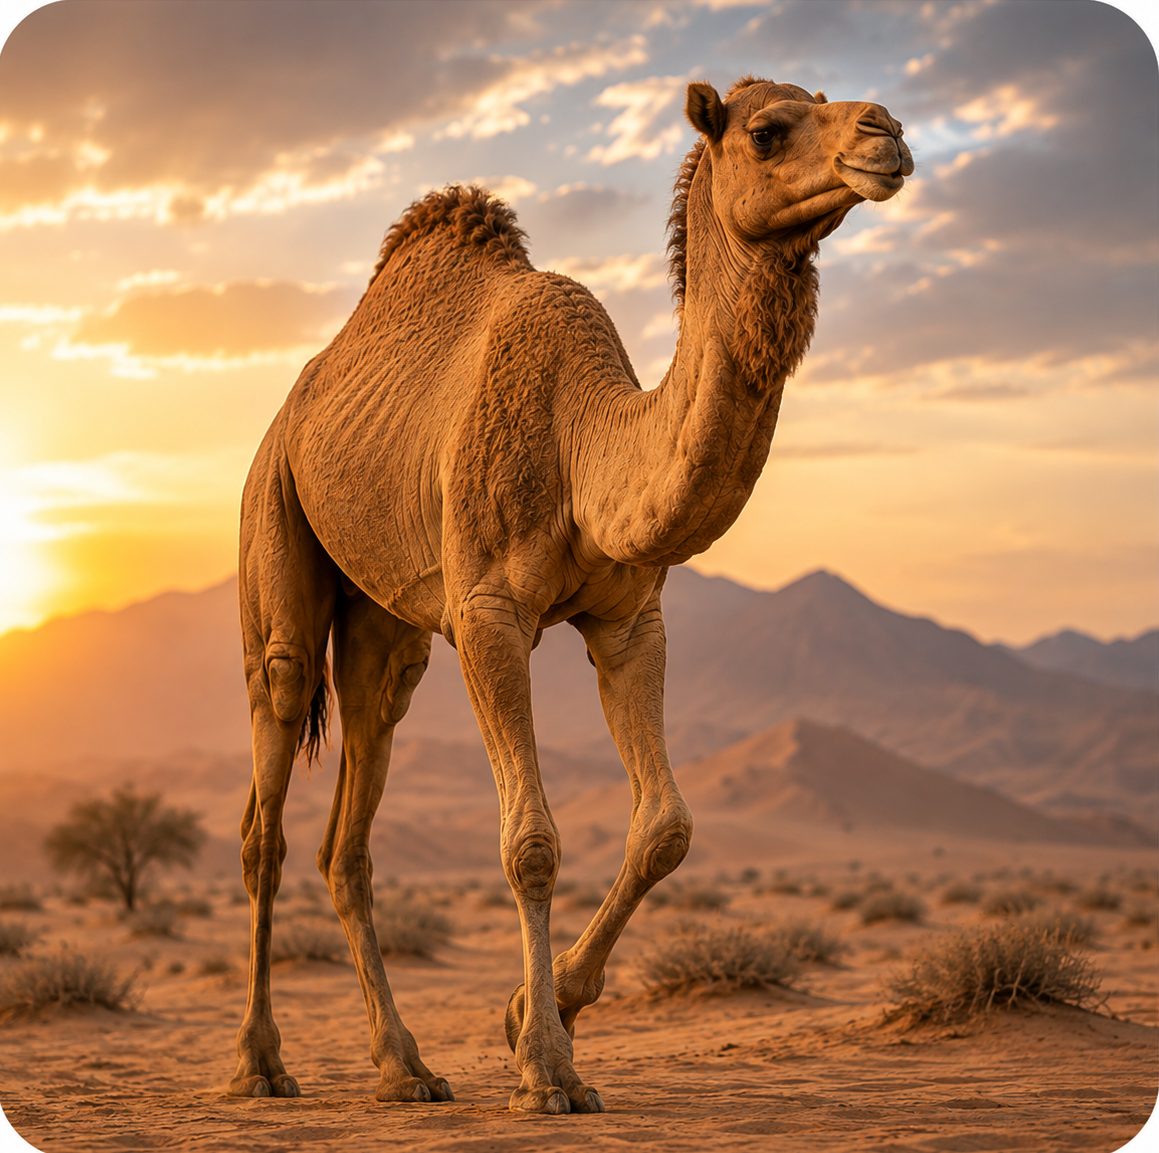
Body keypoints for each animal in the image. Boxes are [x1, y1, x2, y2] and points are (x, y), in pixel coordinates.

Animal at [230, 76, 912, 1114]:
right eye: (767, 130)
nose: (888, 134)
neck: (582, 440)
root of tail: (294, 405)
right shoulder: (487, 613)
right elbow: (531, 844)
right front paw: (547, 1069)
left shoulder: (629, 619)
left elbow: (665, 826)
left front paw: (529, 1012)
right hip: (274, 522)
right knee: (267, 793)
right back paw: (261, 1063)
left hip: (388, 629)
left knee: (348, 831)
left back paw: (406, 1066)